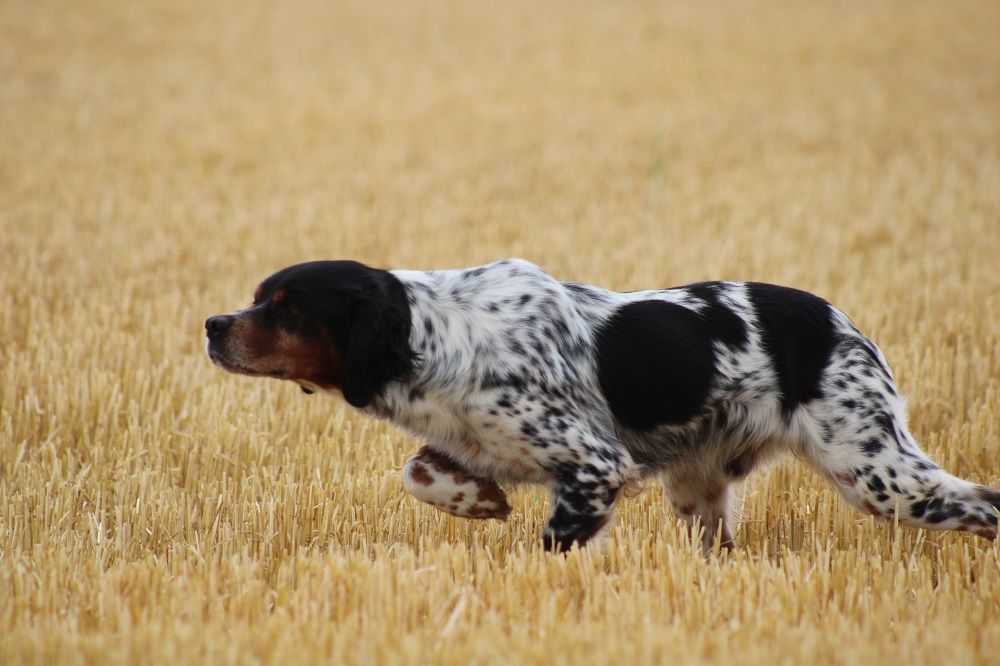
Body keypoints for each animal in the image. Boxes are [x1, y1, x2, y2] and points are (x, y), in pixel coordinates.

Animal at [205, 256, 1000, 548]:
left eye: (286, 307)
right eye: (258, 297)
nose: (212, 326)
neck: (442, 337)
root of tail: (840, 322)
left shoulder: (594, 463)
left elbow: (557, 542)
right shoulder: (470, 441)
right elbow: (419, 470)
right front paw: (478, 501)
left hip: (877, 471)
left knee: (983, 503)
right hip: (699, 490)